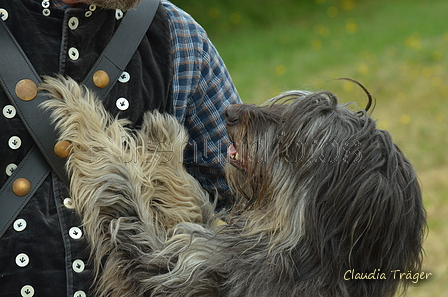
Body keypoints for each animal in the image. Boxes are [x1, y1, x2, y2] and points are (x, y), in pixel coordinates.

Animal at [40, 76, 426, 296]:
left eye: (296, 138)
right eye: (291, 109)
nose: (231, 112)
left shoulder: (162, 270)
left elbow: (119, 183)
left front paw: (77, 105)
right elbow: (193, 206)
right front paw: (164, 139)